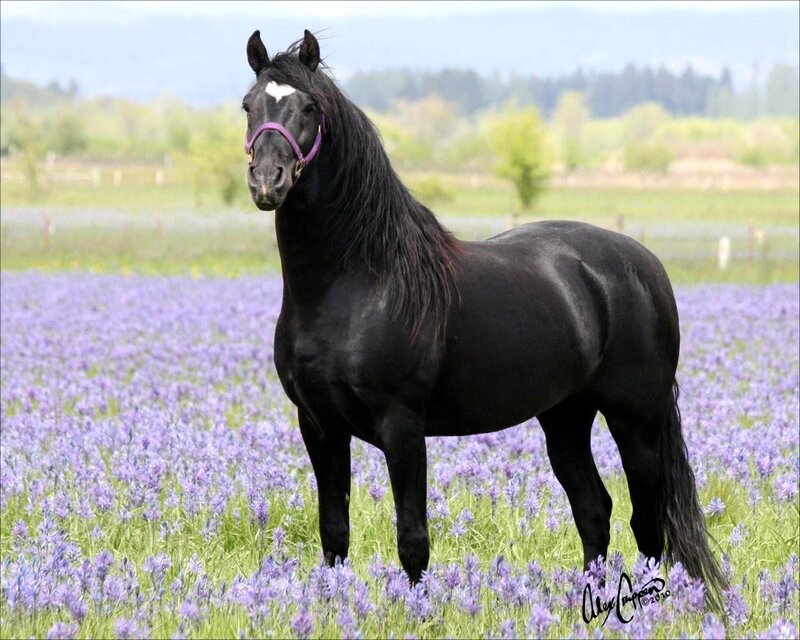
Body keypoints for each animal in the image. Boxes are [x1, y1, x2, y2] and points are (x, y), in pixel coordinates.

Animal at [241, 29, 726, 605]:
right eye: (249, 105)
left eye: (310, 107)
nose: (268, 181)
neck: (354, 282)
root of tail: (645, 266)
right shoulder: (319, 426)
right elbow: (334, 532)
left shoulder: (402, 428)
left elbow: (413, 540)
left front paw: (419, 611)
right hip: (565, 416)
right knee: (594, 510)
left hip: (637, 421)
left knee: (647, 524)